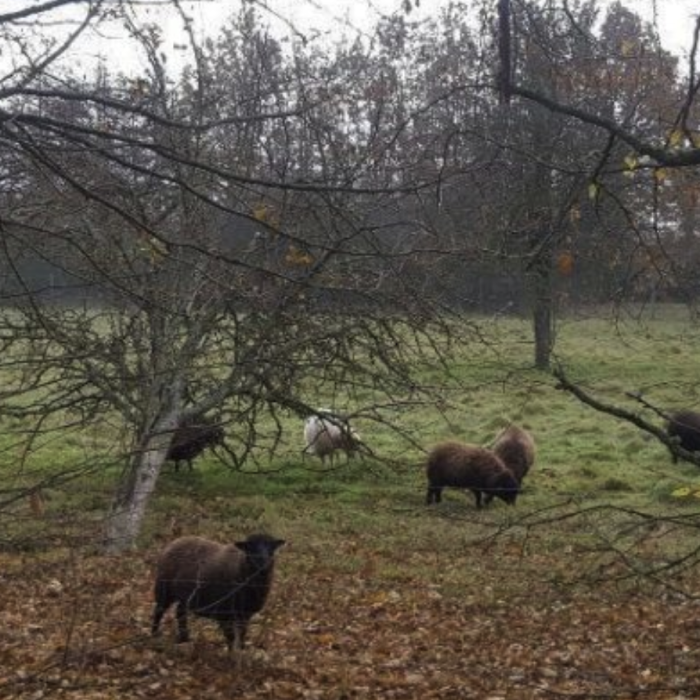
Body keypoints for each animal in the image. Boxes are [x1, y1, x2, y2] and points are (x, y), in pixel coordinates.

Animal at [152, 532, 286, 652]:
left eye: (271, 547)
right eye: (249, 547)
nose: (263, 563)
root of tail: (174, 542)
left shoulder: (245, 614)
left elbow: (242, 633)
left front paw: (241, 651)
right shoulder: (224, 612)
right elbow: (231, 636)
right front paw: (231, 655)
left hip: (184, 596)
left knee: (180, 612)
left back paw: (184, 638)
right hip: (163, 589)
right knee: (159, 611)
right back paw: (154, 634)